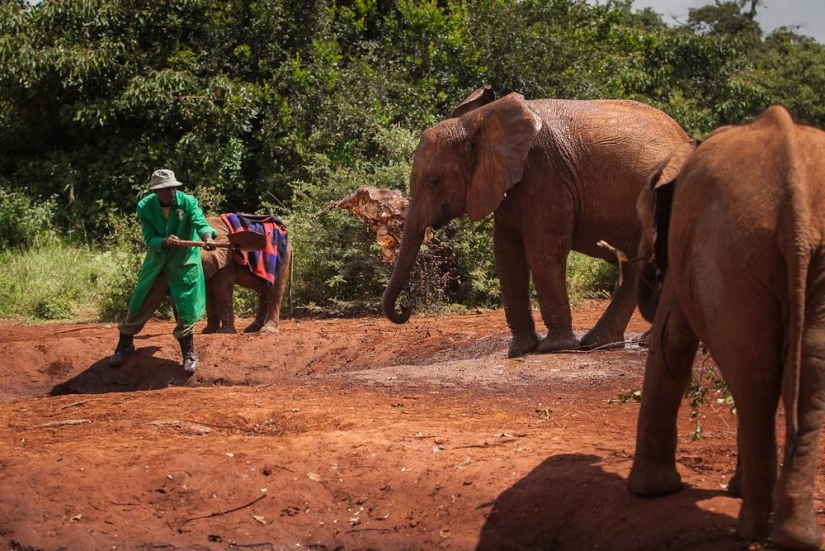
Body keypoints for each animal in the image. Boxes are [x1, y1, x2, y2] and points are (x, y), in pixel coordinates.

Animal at [382, 86, 689, 357]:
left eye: (434, 182)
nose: (405, 309)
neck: (477, 121)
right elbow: (507, 257)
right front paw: (519, 350)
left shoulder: (544, 172)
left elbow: (543, 253)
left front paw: (554, 348)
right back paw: (614, 343)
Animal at [627, 106, 825, 549]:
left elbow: (671, 341)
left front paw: (649, 493)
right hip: (755, 251)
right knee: (805, 375)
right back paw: (795, 537)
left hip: (733, 247)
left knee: (755, 376)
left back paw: (754, 530)